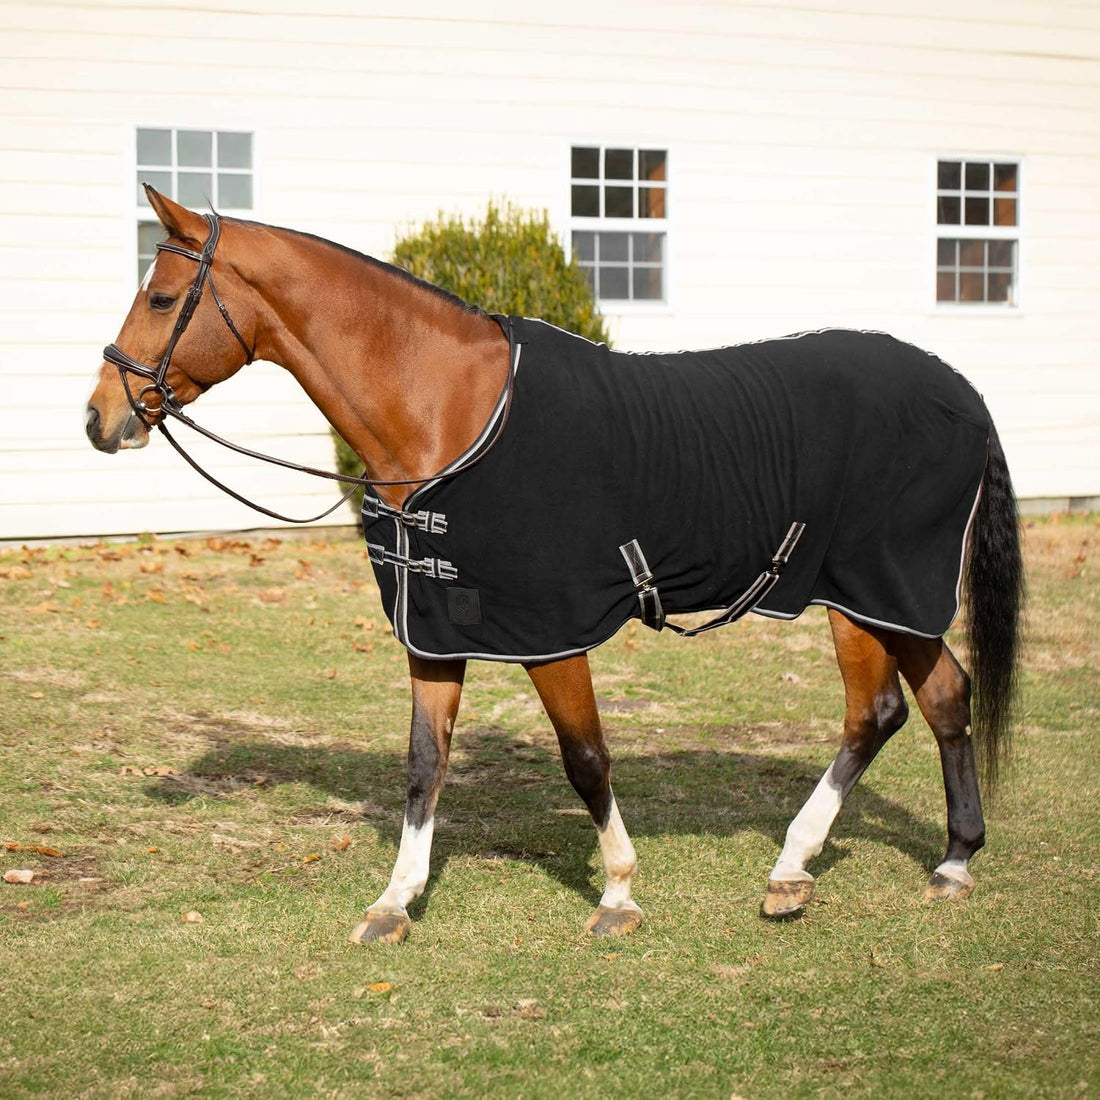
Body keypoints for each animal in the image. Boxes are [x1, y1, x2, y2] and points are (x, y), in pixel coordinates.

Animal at [85, 187, 1023, 943]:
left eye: (161, 296)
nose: (101, 417)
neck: (451, 414)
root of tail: (962, 393)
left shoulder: (551, 632)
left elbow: (586, 758)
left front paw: (618, 894)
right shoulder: (438, 632)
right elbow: (424, 762)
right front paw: (395, 901)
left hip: (880, 592)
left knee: (891, 709)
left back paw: (845, 862)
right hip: (859, 599)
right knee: (917, 704)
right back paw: (916, 862)